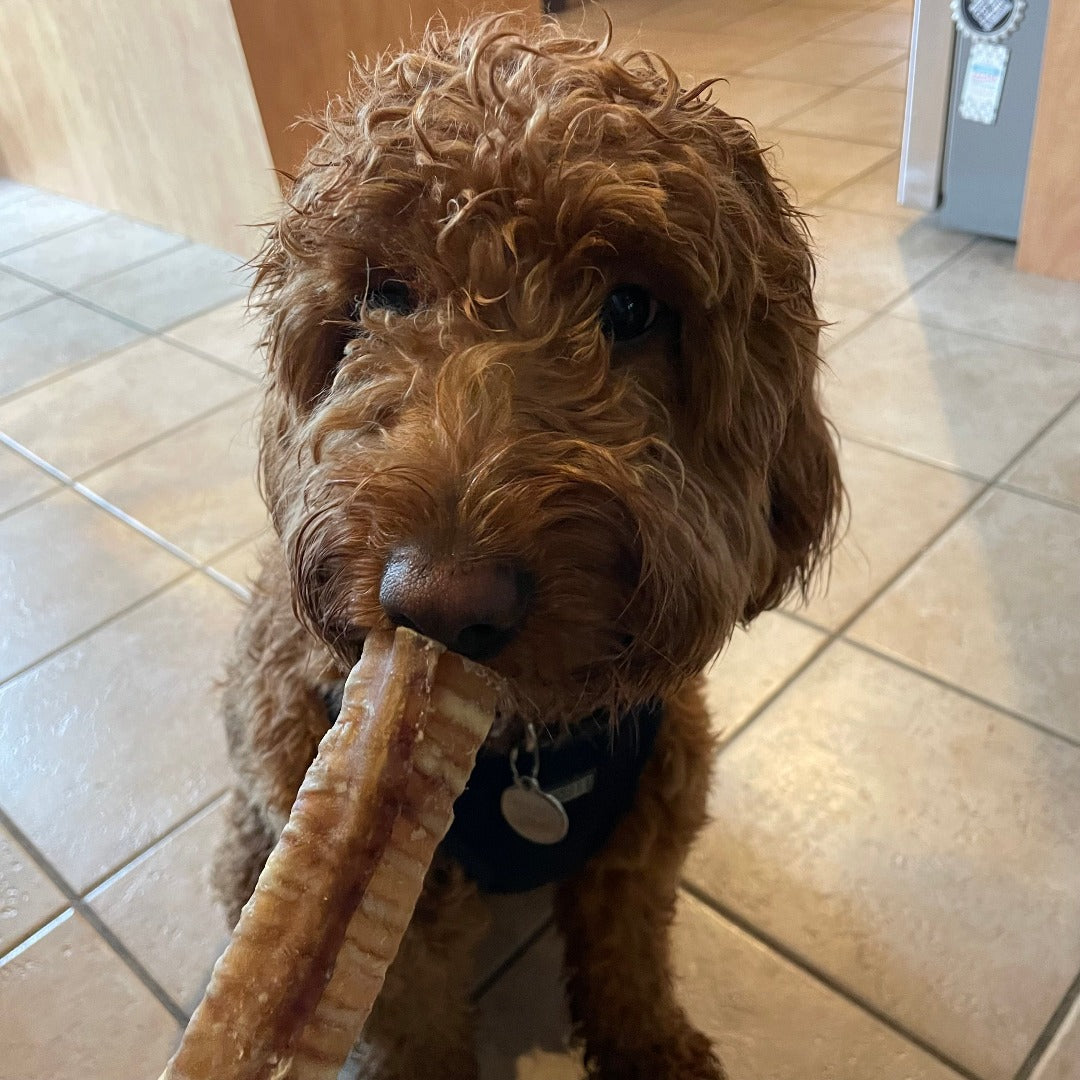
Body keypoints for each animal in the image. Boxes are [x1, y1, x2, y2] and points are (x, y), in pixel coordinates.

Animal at [212, 10, 842, 1080]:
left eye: (631, 308)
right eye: (384, 295)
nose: (441, 602)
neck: (523, 751)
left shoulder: (641, 848)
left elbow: (630, 965)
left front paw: (654, 1049)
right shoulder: (407, 929)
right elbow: (415, 1026)